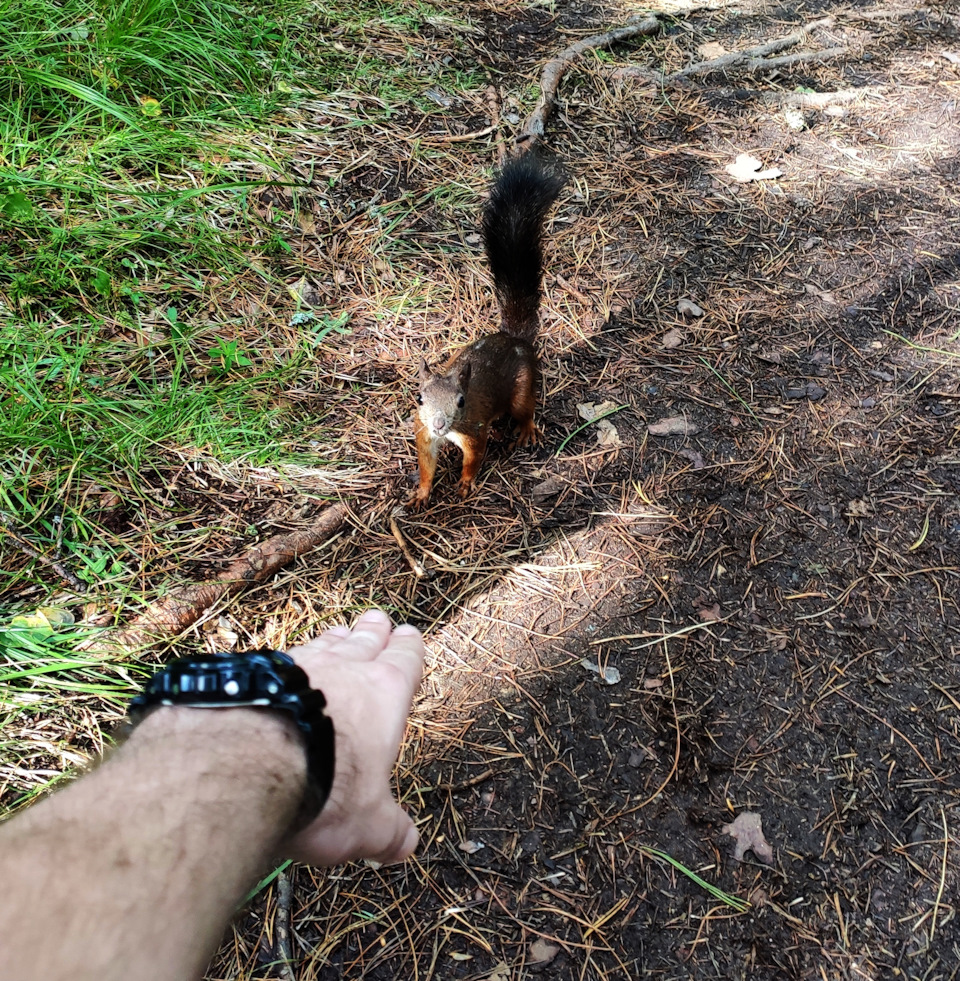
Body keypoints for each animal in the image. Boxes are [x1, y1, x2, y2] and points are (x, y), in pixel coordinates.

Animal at [410, 155, 568, 506]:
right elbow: (426, 465)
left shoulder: (473, 431)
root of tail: (513, 337)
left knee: (525, 409)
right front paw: (422, 493)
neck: (448, 432)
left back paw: (525, 429)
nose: (439, 423)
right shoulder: (424, 435)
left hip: (523, 386)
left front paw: (466, 483)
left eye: (461, 401)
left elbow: (474, 458)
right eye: (419, 398)